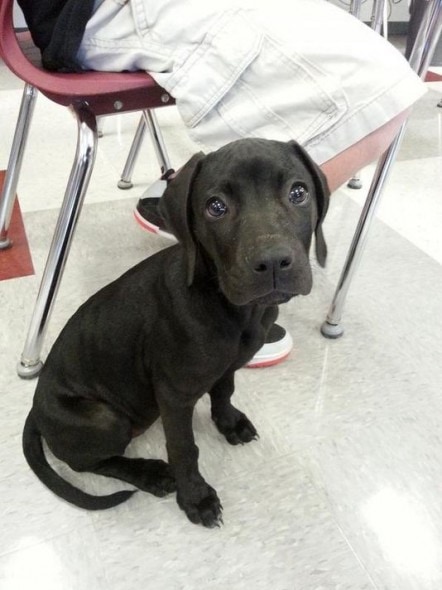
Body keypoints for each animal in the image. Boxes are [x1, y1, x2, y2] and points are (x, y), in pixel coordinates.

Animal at [23, 138, 328, 528]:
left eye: (298, 192)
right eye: (216, 207)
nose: (273, 261)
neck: (234, 310)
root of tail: (35, 409)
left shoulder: (227, 367)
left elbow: (224, 392)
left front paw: (229, 423)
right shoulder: (174, 395)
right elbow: (183, 447)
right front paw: (196, 497)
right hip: (104, 418)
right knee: (88, 462)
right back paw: (150, 474)